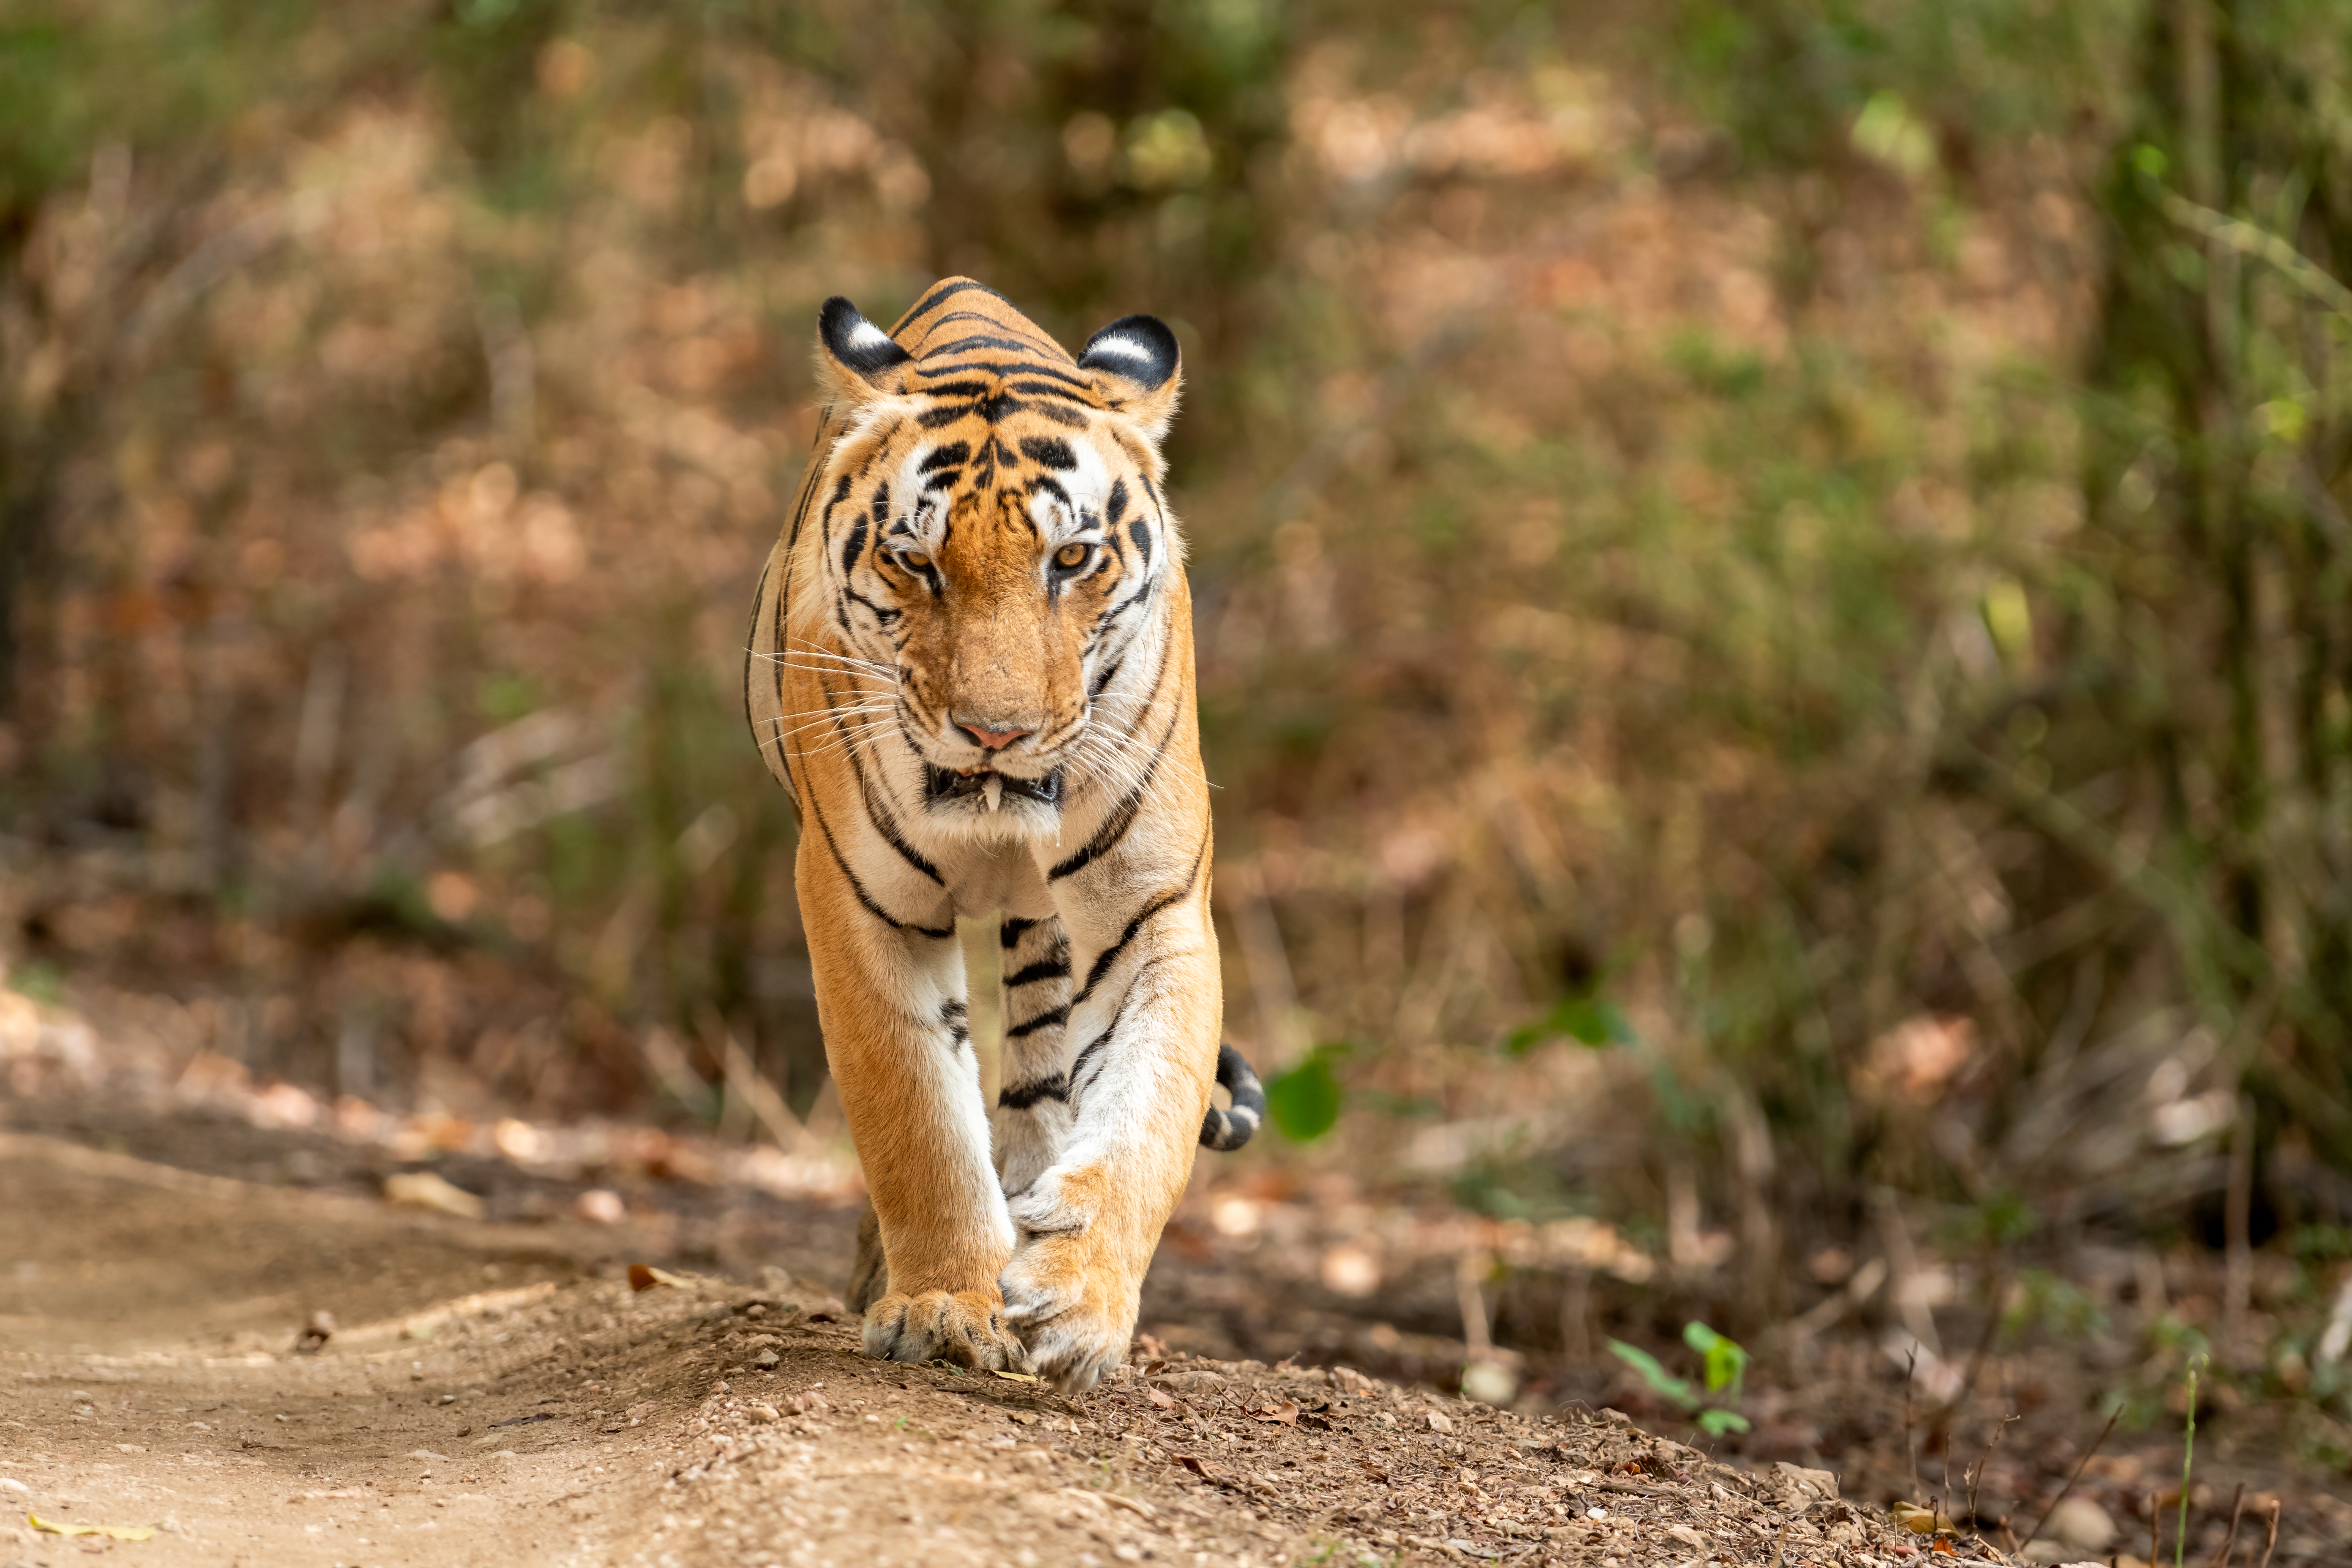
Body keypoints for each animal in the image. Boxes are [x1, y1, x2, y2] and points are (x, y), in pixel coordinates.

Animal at [748, 276, 1270, 1391]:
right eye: (916, 562)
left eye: (1070, 559)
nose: (997, 733)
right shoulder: (859, 901)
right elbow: (916, 1116)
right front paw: (947, 1303)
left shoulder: (1153, 907)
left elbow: (1147, 1117)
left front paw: (1077, 1302)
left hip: (1047, 933)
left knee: (1040, 1079)